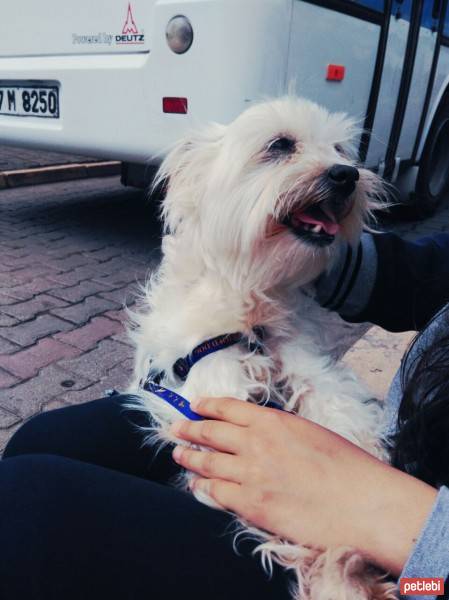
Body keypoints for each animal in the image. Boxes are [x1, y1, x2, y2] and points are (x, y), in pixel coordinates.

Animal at [128, 97, 394, 600]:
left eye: (340, 149)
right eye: (280, 145)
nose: (347, 174)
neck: (254, 309)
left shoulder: (310, 365)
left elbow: (342, 420)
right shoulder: (212, 385)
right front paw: (335, 571)